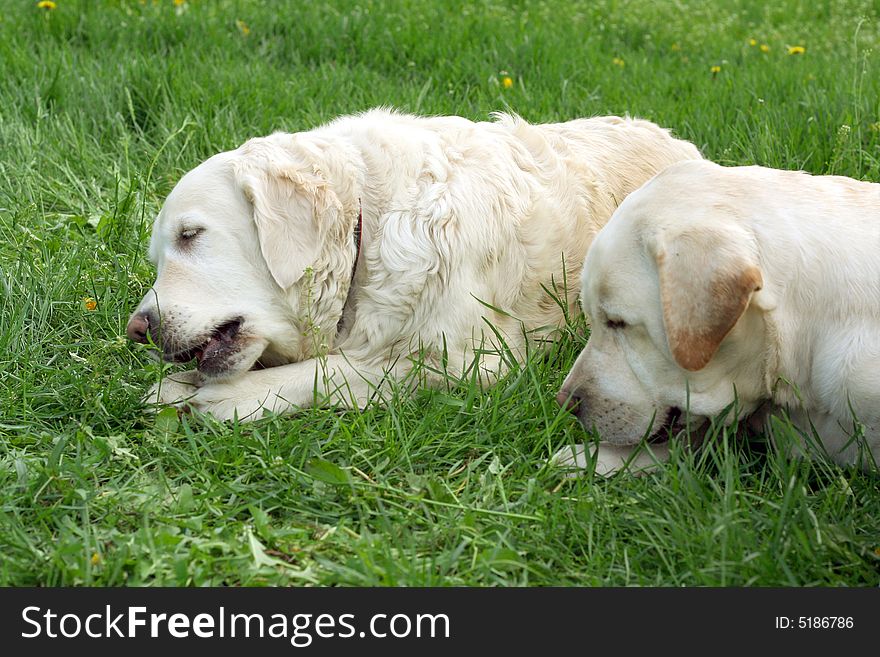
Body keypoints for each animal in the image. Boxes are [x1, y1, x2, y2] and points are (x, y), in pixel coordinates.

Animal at [125, 106, 700, 420]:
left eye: (191, 235)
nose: (137, 329)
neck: (368, 229)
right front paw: (178, 386)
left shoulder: (474, 361)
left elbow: (343, 369)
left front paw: (233, 396)